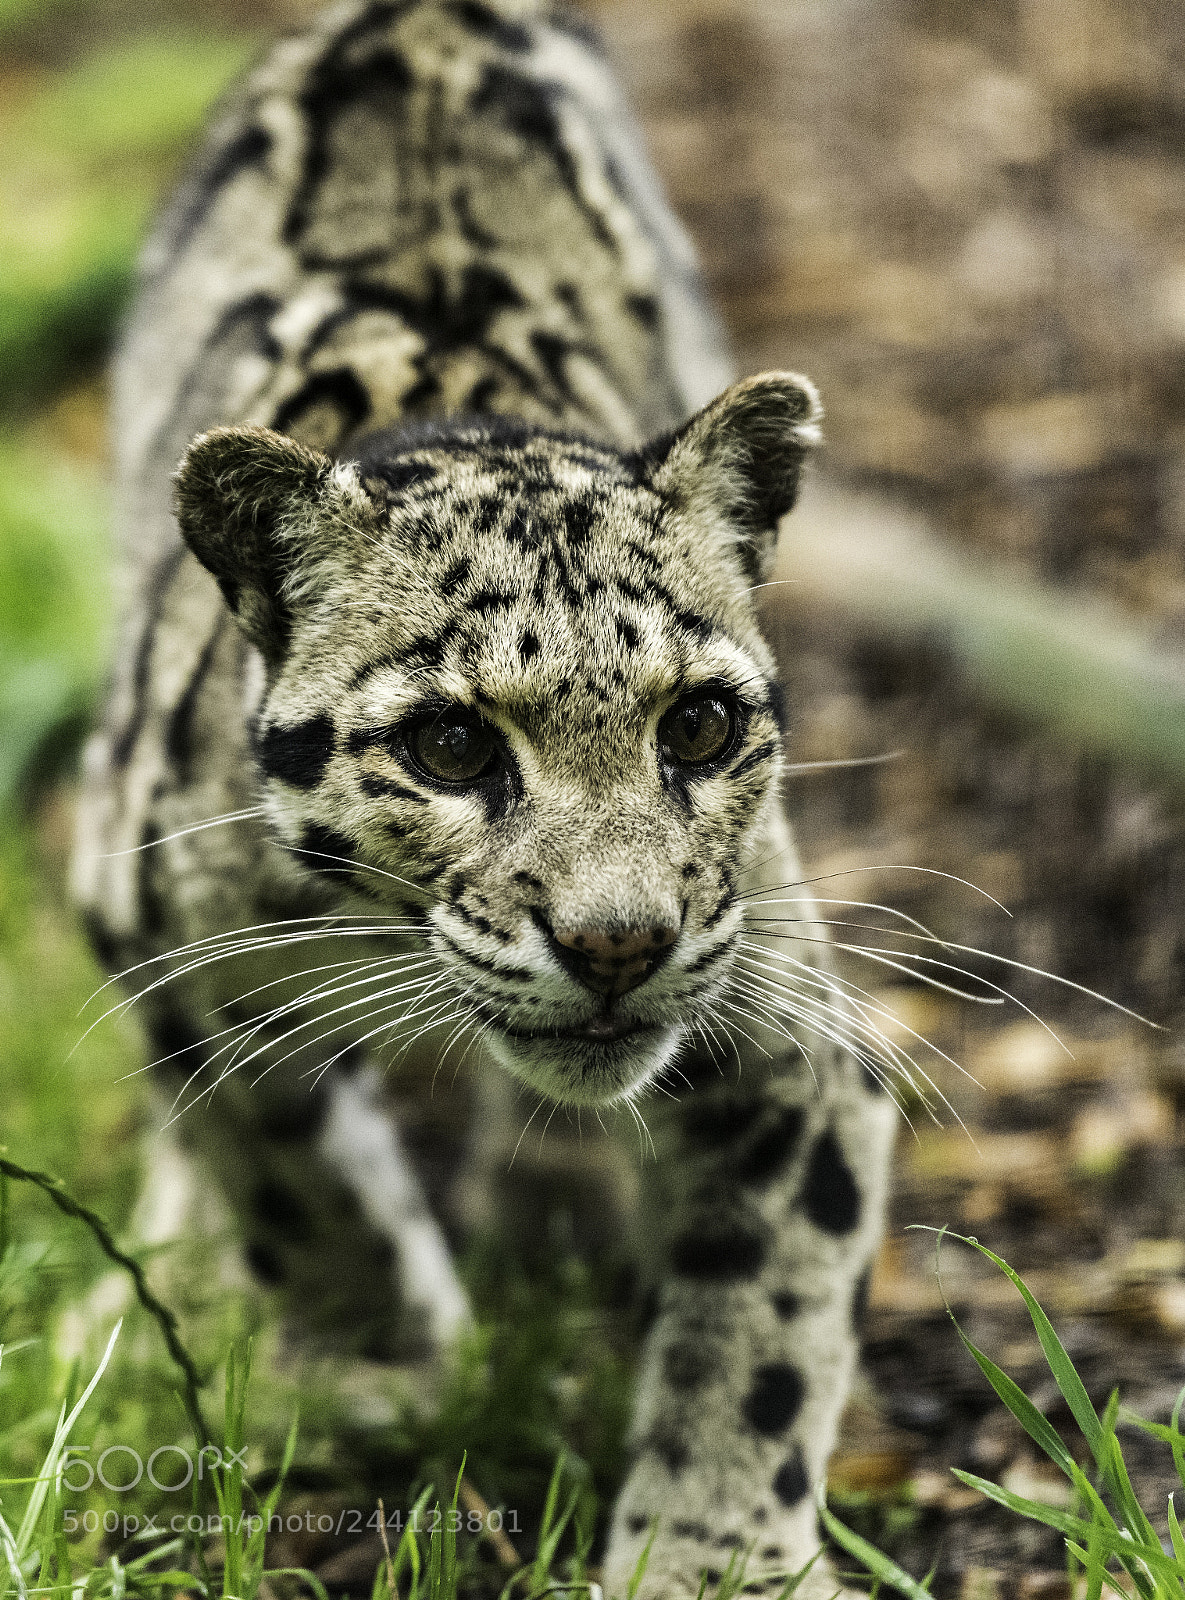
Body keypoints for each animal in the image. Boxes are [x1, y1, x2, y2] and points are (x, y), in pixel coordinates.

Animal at [72, 0, 896, 1593]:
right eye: (451, 746)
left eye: (700, 725)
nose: (619, 944)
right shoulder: (155, 917)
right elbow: (279, 1154)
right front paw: (377, 1362)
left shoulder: (787, 1026)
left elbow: (761, 1322)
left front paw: (715, 1561)